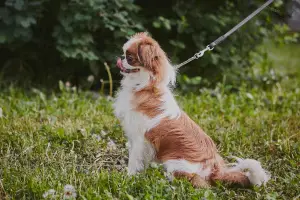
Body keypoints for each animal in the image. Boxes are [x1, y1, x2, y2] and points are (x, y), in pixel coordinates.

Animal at [113, 32, 270, 188]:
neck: (145, 87)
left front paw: (129, 177)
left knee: (198, 183)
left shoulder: (139, 139)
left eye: (130, 57)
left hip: (175, 165)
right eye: (124, 52)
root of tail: (214, 170)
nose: (121, 58)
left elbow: (134, 161)